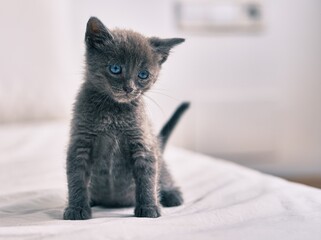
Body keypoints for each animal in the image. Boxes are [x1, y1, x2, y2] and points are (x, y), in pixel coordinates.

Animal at [62, 16, 188, 219]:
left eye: (143, 74)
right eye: (115, 68)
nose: (129, 88)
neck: (113, 111)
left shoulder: (142, 141)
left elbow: (148, 176)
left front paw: (149, 207)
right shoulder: (80, 141)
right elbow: (76, 177)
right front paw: (77, 208)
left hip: (156, 147)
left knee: (163, 173)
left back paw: (171, 194)